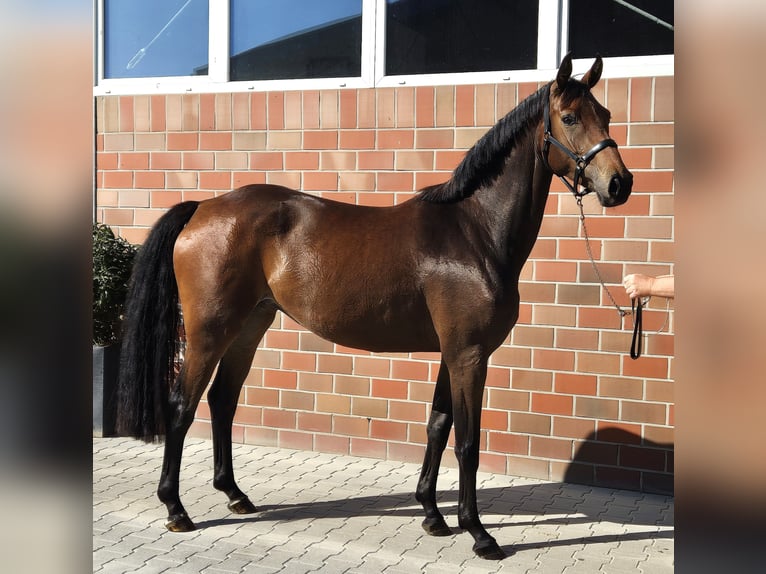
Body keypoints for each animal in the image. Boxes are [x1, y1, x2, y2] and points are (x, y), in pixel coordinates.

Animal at [116, 54, 632, 560]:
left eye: (606, 115)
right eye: (570, 117)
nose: (619, 184)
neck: (475, 232)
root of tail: (203, 207)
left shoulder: (452, 353)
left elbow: (438, 425)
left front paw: (432, 515)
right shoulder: (470, 355)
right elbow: (467, 441)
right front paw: (479, 533)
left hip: (249, 325)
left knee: (223, 400)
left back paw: (236, 495)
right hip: (210, 329)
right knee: (182, 405)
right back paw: (176, 508)